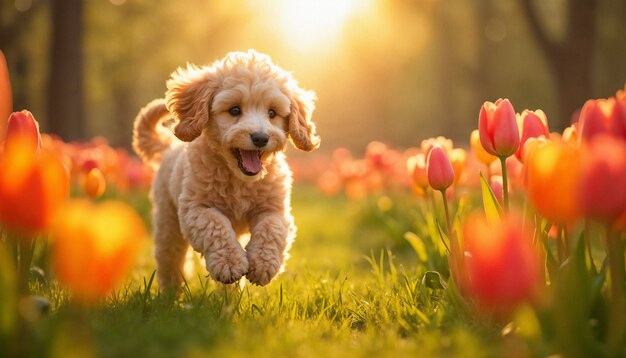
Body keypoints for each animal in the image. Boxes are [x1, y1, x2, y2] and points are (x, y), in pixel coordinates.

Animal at [130, 49, 316, 288]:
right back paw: (170, 293)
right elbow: (215, 225)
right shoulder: (195, 209)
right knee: (170, 260)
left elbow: (271, 228)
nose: (260, 138)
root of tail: (169, 146)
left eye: (272, 113)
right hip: (168, 222)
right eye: (234, 110)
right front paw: (230, 263)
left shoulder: (274, 209)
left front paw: (263, 265)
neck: (238, 179)